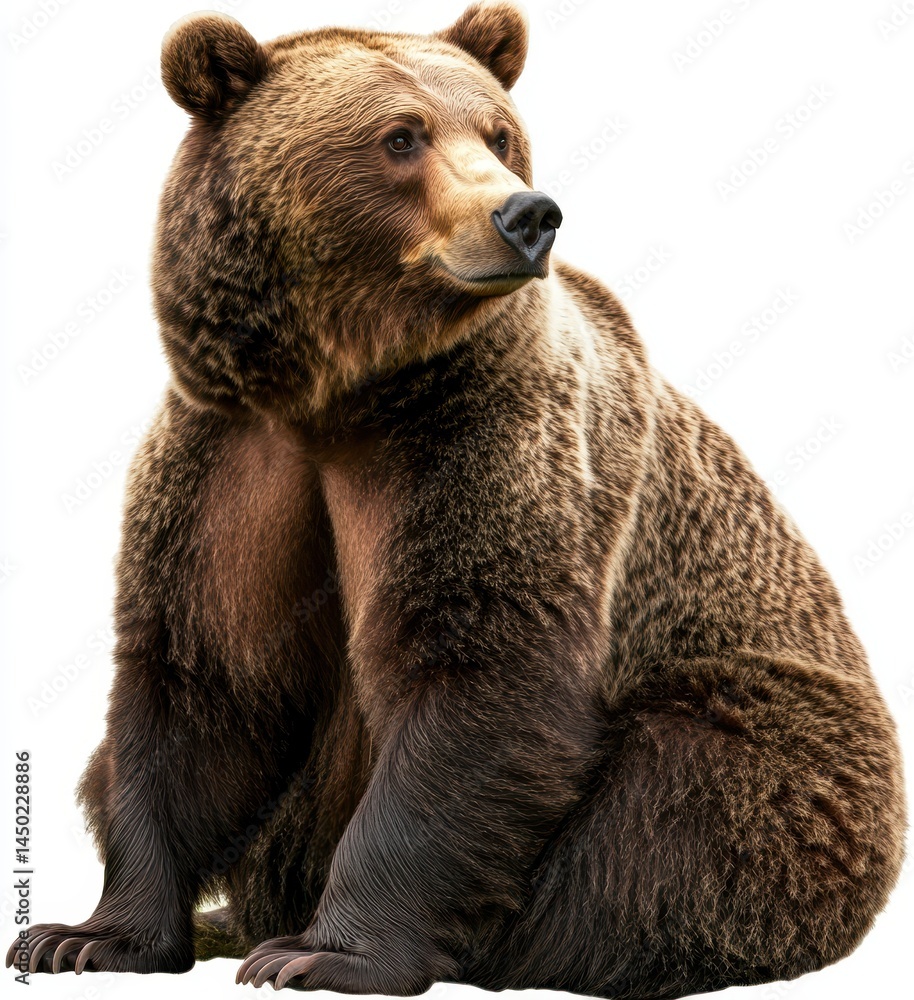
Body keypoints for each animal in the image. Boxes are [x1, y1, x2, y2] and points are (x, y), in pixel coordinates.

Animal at [7, 3, 906, 997]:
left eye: (500, 133)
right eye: (402, 136)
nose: (527, 213)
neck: (343, 394)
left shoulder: (483, 442)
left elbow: (477, 675)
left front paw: (326, 953)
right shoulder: (230, 459)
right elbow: (202, 681)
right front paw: (86, 936)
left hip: (788, 748)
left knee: (668, 810)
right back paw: (235, 920)